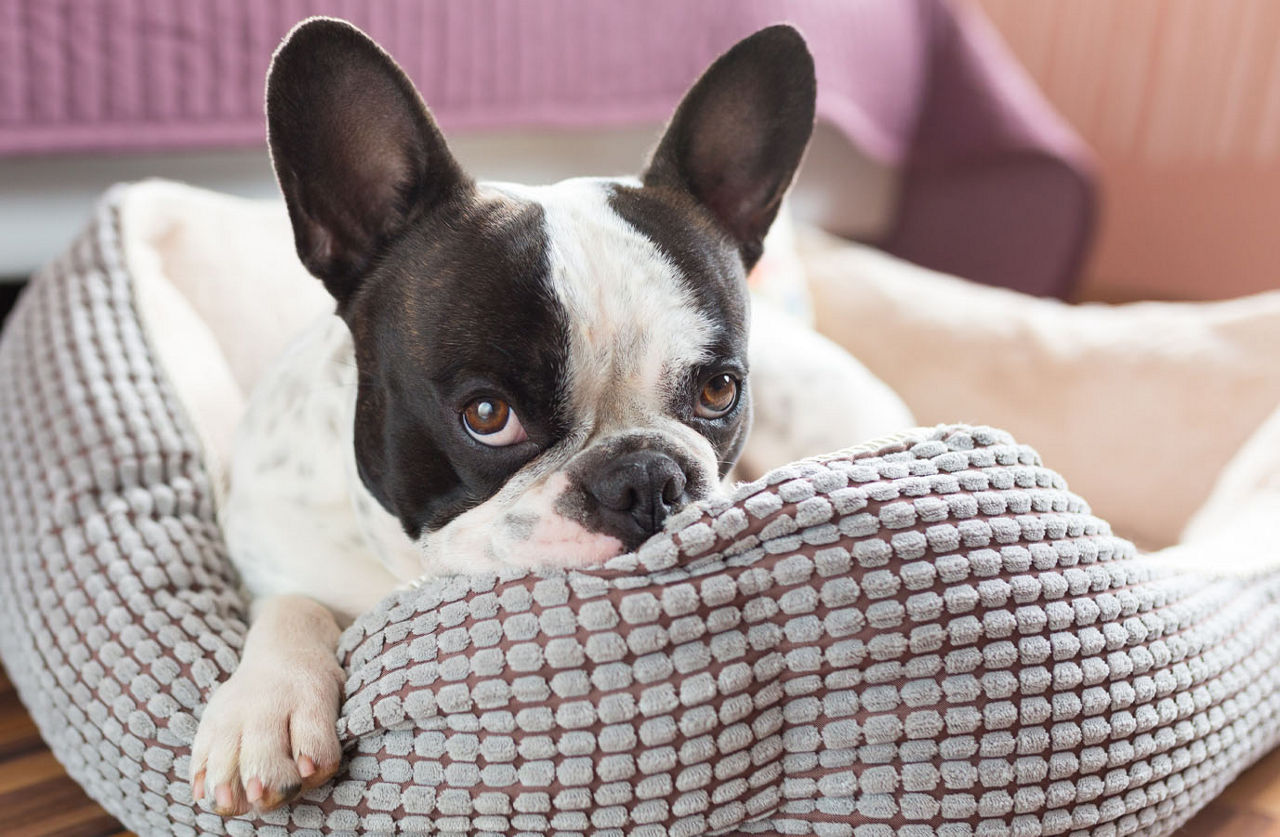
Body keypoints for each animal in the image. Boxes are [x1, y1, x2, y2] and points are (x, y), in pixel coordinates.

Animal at [186, 14, 890, 819]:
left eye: (719, 391)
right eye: (488, 414)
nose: (647, 479)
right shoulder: (272, 546)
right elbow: (289, 603)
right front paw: (266, 705)